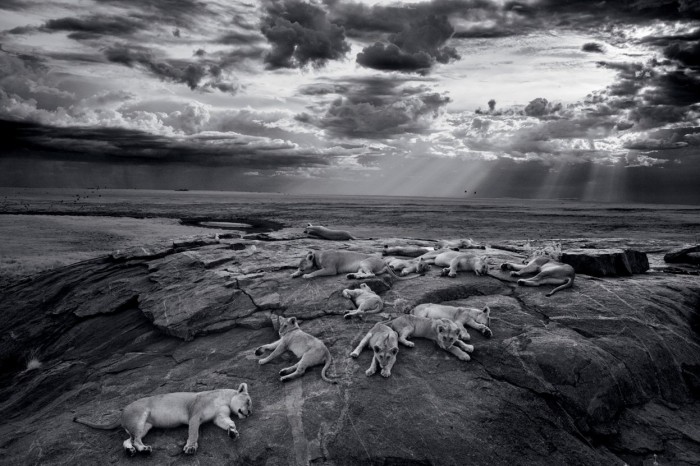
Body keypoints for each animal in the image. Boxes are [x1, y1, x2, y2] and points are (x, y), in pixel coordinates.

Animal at [73, 384, 252, 455]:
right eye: (249, 401)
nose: (249, 413)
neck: (224, 398)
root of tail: (121, 413)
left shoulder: (219, 416)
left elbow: (228, 423)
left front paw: (233, 432)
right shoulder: (194, 414)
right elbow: (193, 433)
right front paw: (190, 448)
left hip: (144, 426)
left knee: (128, 439)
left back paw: (130, 451)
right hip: (140, 416)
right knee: (136, 440)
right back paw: (144, 449)